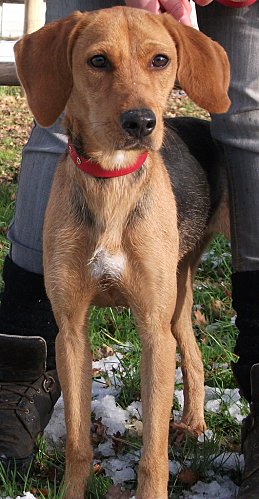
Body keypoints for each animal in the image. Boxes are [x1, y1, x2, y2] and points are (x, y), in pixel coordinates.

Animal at [14, 5, 231, 498]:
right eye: (97, 61)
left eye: (160, 60)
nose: (141, 123)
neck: (111, 181)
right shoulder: (71, 334)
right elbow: (78, 443)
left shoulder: (152, 332)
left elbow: (153, 455)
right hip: (178, 294)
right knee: (192, 350)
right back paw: (193, 422)